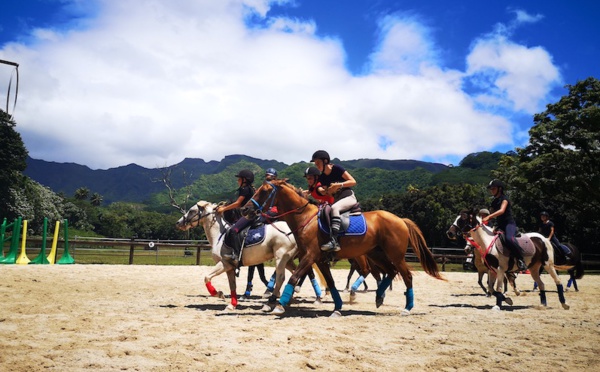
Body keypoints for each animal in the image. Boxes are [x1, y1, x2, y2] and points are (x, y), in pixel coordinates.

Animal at [176, 201, 318, 310]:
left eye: (191, 211)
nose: (178, 223)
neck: (220, 236)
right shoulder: (230, 267)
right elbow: (232, 286)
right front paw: (232, 305)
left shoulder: (224, 263)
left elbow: (207, 277)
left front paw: (219, 294)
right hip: (288, 260)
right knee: (297, 273)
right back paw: (290, 298)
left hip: (281, 258)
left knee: (281, 278)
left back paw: (272, 301)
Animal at [240, 180, 446, 316]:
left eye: (264, 191)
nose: (246, 210)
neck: (305, 219)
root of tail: (400, 219)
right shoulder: (319, 259)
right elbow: (330, 283)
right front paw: (337, 308)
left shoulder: (310, 256)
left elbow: (294, 277)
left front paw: (279, 304)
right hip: (376, 254)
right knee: (389, 272)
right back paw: (378, 297)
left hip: (394, 255)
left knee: (405, 276)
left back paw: (406, 307)